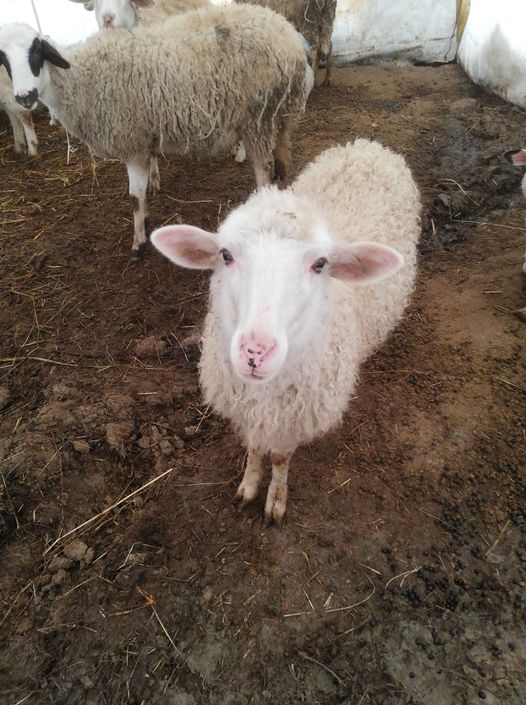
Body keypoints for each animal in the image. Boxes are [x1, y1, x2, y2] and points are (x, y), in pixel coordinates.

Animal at [0, 9, 311, 253]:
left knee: (264, 168)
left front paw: (138, 242)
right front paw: (146, 219)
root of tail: (288, 33)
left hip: (259, 118)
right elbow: (144, 190)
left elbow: (134, 197)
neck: (81, 79)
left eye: (36, 52)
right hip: (278, 117)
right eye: (4, 60)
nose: (24, 97)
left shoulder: (133, 142)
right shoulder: (145, 139)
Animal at [151, 138, 421, 524]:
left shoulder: (292, 417)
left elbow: (278, 458)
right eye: (225, 255)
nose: (255, 352)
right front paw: (248, 487)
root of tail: (368, 146)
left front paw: (275, 500)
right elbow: (253, 447)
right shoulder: (249, 409)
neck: (265, 393)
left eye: (320, 264)